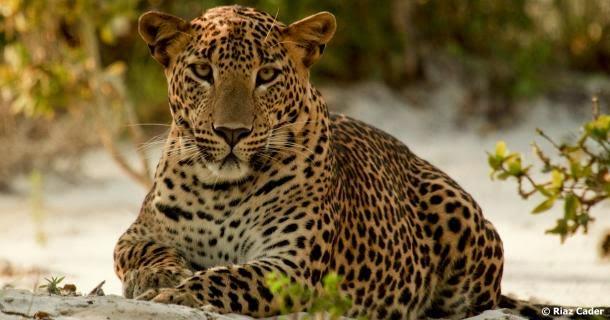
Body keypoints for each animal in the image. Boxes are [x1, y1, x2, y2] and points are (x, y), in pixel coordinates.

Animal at [111, 5, 580, 320]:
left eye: (266, 76)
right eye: (203, 72)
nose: (231, 132)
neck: (222, 190)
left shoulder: (290, 266)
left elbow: (227, 277)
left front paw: (177, 295)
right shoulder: (135, 233)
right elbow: (147, 251)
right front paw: (158, 278)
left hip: (459, 217)